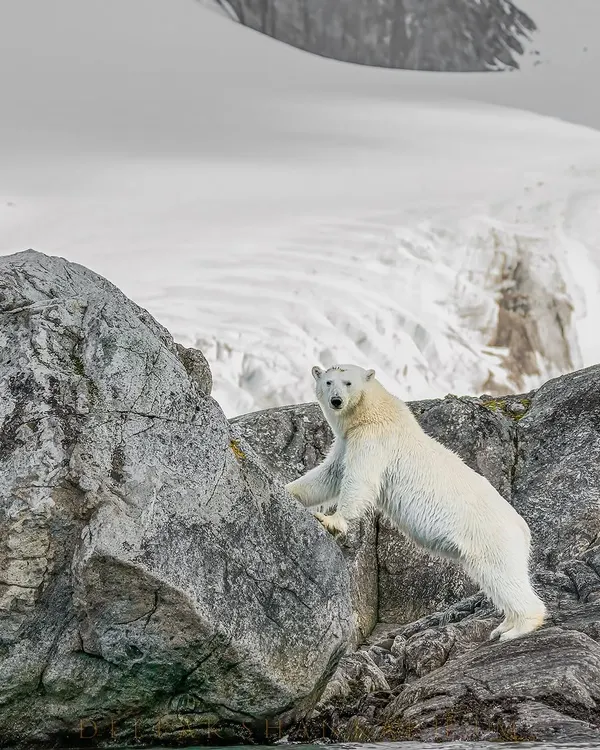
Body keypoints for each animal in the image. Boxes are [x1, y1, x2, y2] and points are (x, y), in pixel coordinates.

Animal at [285, 363, 547, 642]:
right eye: (328, 381)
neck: (374, 412)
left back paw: (517, 628)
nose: (336, 400)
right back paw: (503, 626)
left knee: (502, 575)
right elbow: (328, 476)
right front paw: (288, 489)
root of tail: (523, 528)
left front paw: (331, 520)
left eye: (348, 383)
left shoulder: (374, 439)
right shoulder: (348, 441)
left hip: (489, 538)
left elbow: (359, 479)